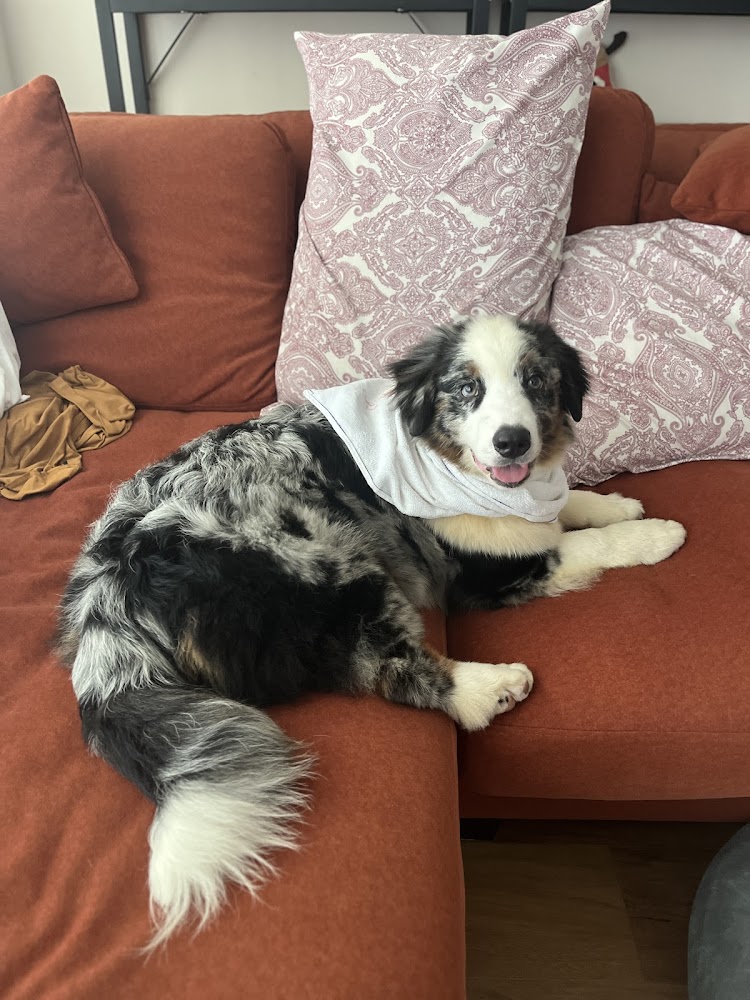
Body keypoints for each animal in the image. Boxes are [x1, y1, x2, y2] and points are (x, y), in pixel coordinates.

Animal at [58, 314, 686, 945]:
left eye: (535, 381)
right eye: (467, 388)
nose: (512, 441)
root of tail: (111, 590)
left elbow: (569, 505)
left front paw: (616, 502)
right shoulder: (483, 572)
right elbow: (578, 546)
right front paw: (657, 533)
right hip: (329, 562)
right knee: (392, 667)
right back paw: (492, 687)